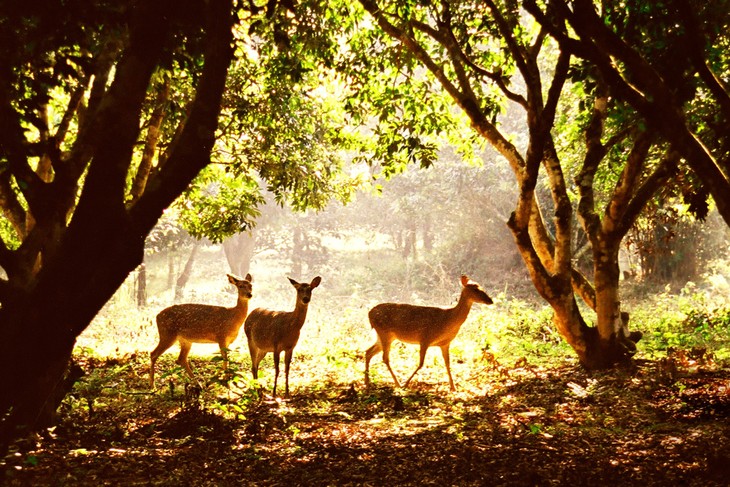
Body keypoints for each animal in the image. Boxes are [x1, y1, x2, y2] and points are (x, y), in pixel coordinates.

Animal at [364, 276, 494, 390]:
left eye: (481, 287)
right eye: (476, 289)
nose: (490, 300)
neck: (448, 319)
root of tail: (369, 314)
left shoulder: (445, 343)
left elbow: (448, 364)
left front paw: (453, 387)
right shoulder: (425, 338)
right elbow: (421, 364)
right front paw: (406, 384)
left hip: (386, 336)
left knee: (368, 352)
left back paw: (367, 381)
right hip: (384, 332)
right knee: (384, 358)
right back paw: (398, 384)